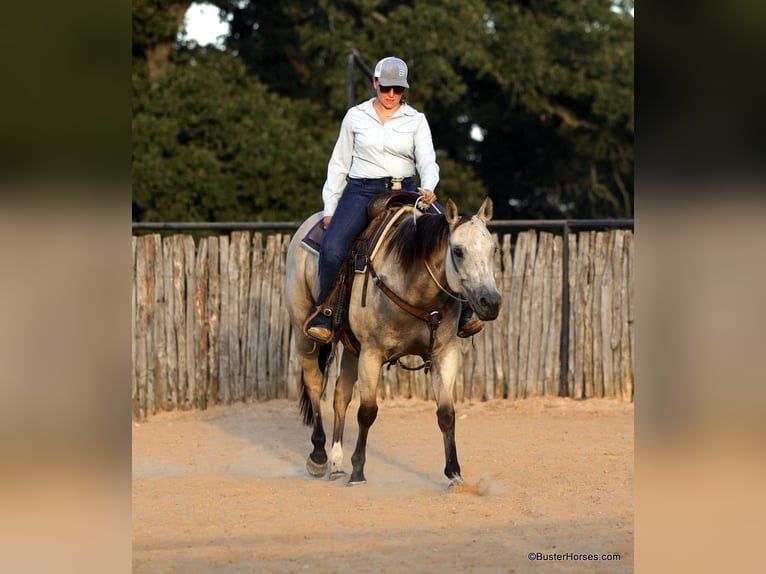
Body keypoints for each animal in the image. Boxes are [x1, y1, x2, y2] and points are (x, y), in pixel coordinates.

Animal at [284, 197, 500, 486]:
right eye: (458, 251)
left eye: (493, 249)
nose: (491, 302)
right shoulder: (372, 354)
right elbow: (367, 412)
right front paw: (358, 472)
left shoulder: (444, 353)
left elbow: (446, 413)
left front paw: (454, 473)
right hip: (303, 331)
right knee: (315, 383)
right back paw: (319, 456)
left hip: (352, 347)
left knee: (341, 394)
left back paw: (337, 463)